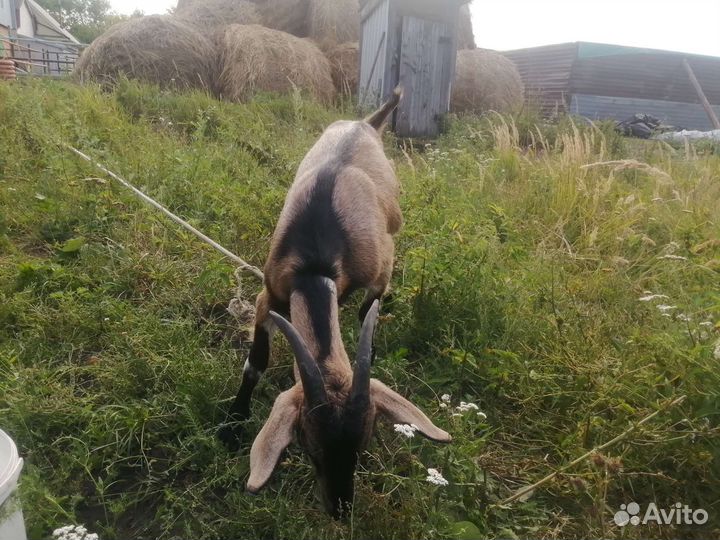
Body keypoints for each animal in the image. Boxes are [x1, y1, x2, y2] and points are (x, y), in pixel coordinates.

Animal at [219, 89, 451, 517]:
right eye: (309, 445)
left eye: (364, 443)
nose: (341, 510)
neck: (315, 263)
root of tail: (366, 123)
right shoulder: (269, 293)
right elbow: (255, 363)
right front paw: (232, 425)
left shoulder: (381, 268)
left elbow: (365, 311)